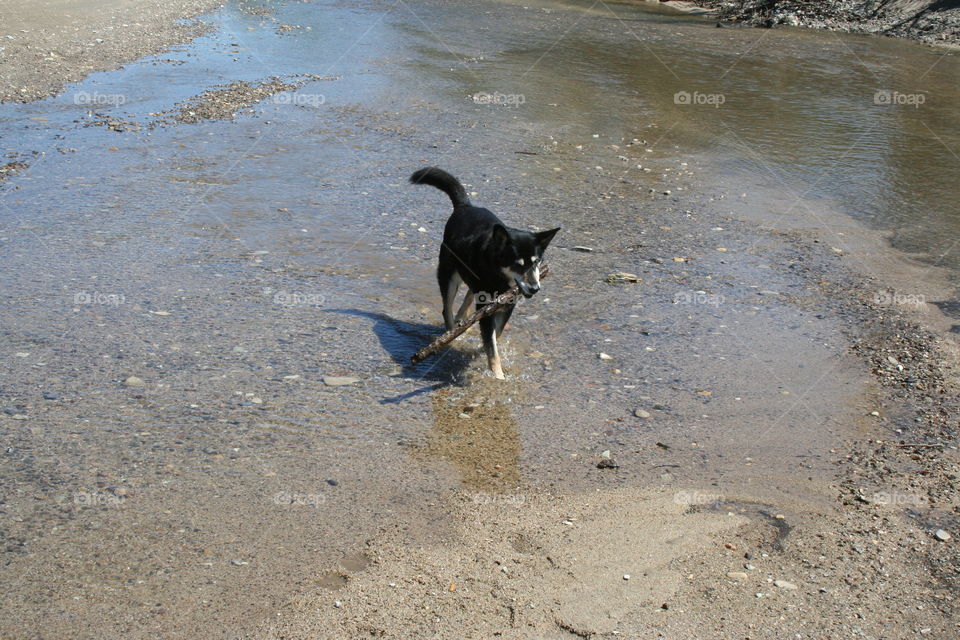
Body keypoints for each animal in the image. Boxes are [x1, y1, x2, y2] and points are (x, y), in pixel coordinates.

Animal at [408, 170, 560, 380]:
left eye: (537, 262)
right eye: (518, 265)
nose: (535, 288)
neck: (498, 274)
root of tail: (465, 206)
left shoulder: (507, 305)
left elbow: (496, 334)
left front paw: (484, 351)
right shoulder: (488, 309)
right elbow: (492, 345)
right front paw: (498, 376)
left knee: (469, 294)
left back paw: (462, 317)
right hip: (449, 275)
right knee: (447, 308)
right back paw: (452, 333)